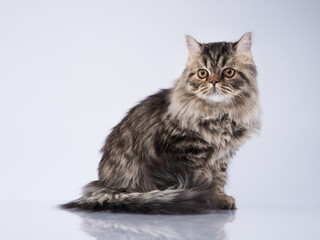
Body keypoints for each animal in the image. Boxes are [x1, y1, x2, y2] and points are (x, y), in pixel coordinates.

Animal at [62, 32, 260, 214]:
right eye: (202, 73)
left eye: (228, 72)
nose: (213, 81)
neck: (217, 114)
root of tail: (105, 187)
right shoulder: (185, 151)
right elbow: (198, 181)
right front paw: (206, 200)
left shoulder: (222, 155)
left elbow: (218, 179)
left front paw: (219, 199)